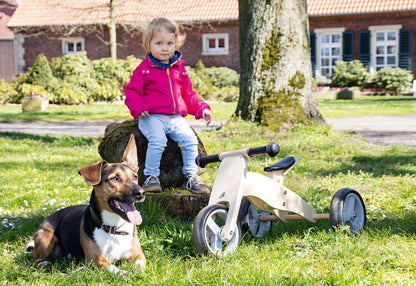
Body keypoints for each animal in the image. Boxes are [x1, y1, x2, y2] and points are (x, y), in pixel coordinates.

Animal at [26, 135, 146, 274]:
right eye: (115, 179)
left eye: (135, 176)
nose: (141, 193)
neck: (114, 228)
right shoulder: (96, 260)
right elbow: (115, 270)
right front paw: (126, 273)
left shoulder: (139, 255)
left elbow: (141, 266)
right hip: (45, 236)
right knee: (36, 260)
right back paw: (43, 263)